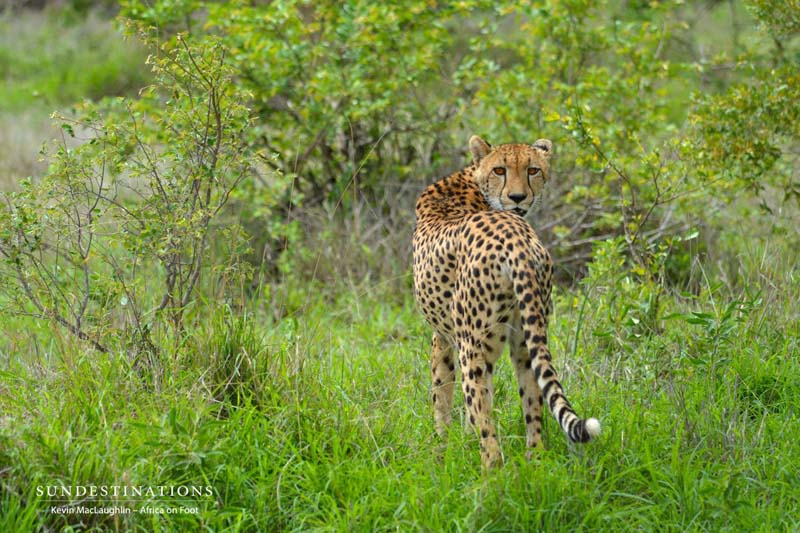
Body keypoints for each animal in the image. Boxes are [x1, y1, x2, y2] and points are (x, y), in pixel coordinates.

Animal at [412, 135, 600, 468]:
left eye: (532, 170)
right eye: (500, 170)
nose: (517, 197)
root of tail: (516, 239)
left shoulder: (443, 338)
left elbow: (442, 398)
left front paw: (441, 450)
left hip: (472, 346)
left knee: (486, 424)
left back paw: (490, 471)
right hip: (527, 339)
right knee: (533, 404)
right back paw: (535, 462)